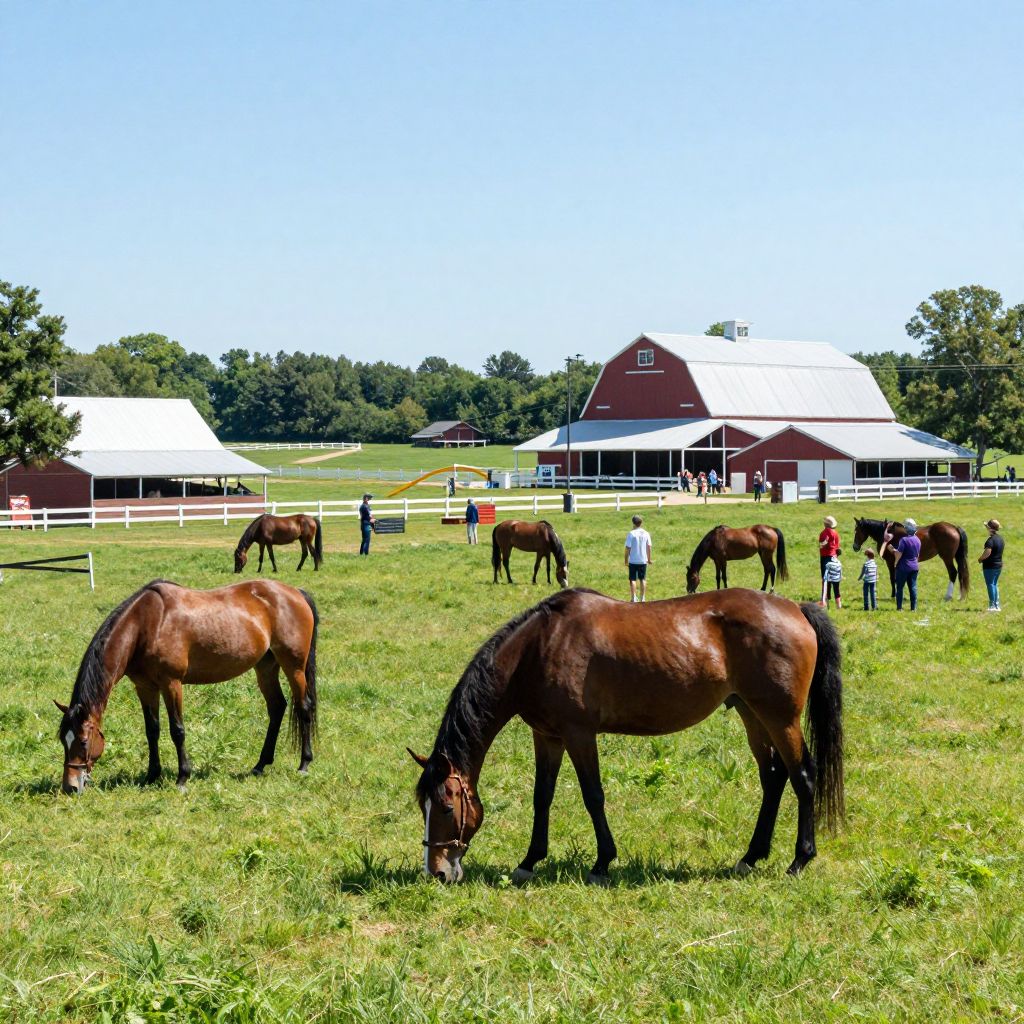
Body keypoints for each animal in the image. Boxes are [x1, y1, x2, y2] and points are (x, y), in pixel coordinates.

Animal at [54, 579, 318, 794]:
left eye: (83, 741)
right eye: (63, 741)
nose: (70, 786)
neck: (147, 623)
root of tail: (296, 592)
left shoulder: (171, 684)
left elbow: (177, 730)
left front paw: (182, 777)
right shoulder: (145, 687)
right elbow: (152, 730)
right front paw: (152, 775)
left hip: (294, 666)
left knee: (303, 707)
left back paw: (304, 764)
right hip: (265, 667)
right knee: (277, 708)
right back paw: (260, 765)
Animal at [408, 587, 843, 885]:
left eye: (445, 807)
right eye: (422, 808)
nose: (437, 872)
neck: (538, 649)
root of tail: (797, 608)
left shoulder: (579, 734)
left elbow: (593, 796)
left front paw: (602, 862)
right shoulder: (547, 736)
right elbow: (541, 797)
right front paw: (529, 861)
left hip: (780, 718)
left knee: (803, 777)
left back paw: (799, 859)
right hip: (752, 714)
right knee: (773, 778)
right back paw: (751, 856)